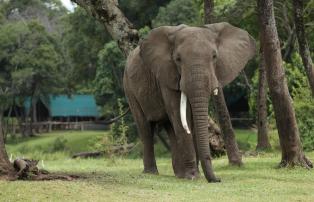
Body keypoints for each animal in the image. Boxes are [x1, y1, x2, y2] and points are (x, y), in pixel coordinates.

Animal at [122, 22, 255, 183]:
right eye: (178, 59)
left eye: (214, 56)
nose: (217, 180)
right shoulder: (167, 75)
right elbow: (181, 118)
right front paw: (192, 176)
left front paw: (192, 175)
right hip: (129, 89)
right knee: (146, 129)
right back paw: (151, 173)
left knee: (170, 127)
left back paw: (178, 174)